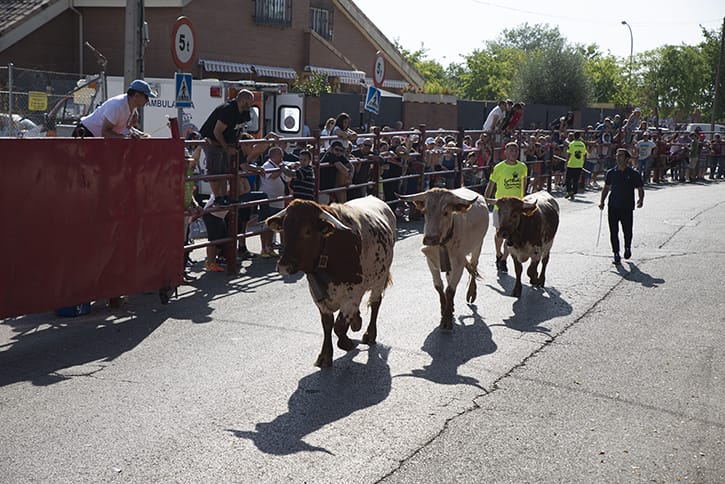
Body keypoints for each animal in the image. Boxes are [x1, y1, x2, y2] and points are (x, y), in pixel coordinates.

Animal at [265, 196, 396, 368]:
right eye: (284, 229)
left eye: (307, 231)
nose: (284, 266)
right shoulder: (318, 297)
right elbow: (327, 325)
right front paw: (325, 355)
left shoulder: (353, 294)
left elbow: (338, 327)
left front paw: (346, 343)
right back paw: (356, 321)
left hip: (380, 278)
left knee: (375, 303)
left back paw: (370, 333)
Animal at [398, 187, 489, 330]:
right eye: (424, 212)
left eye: (446, 213)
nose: (430, 239)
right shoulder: (431, 261)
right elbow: (439, 286)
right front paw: (444, 311)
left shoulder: (459, 263)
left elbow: (450, 289)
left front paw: (447, 319)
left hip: (478, 245)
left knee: (473, 267)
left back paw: (471, 292)